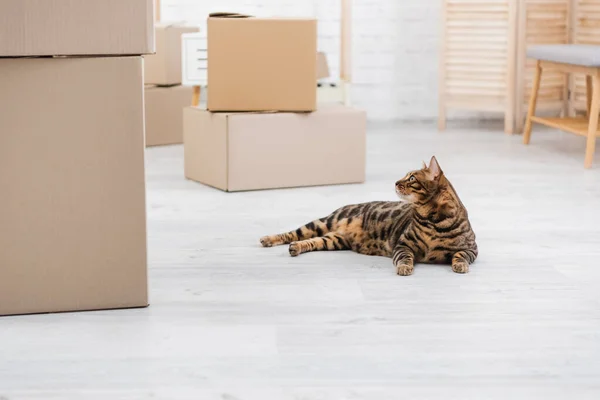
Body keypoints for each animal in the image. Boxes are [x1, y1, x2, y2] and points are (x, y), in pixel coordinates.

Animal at [258, 156, 478, 276]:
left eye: (412, 178)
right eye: (405, 176)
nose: (396, 182)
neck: (433, 220)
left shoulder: (471, 249)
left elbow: (460, 255)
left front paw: (460, 265)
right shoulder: (403, 245)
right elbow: (405, 258)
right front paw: (405, 268)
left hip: (335, 240)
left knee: (313, 241)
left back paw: (296, 248)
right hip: (323, 222)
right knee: (293, 233)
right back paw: (269, 239)